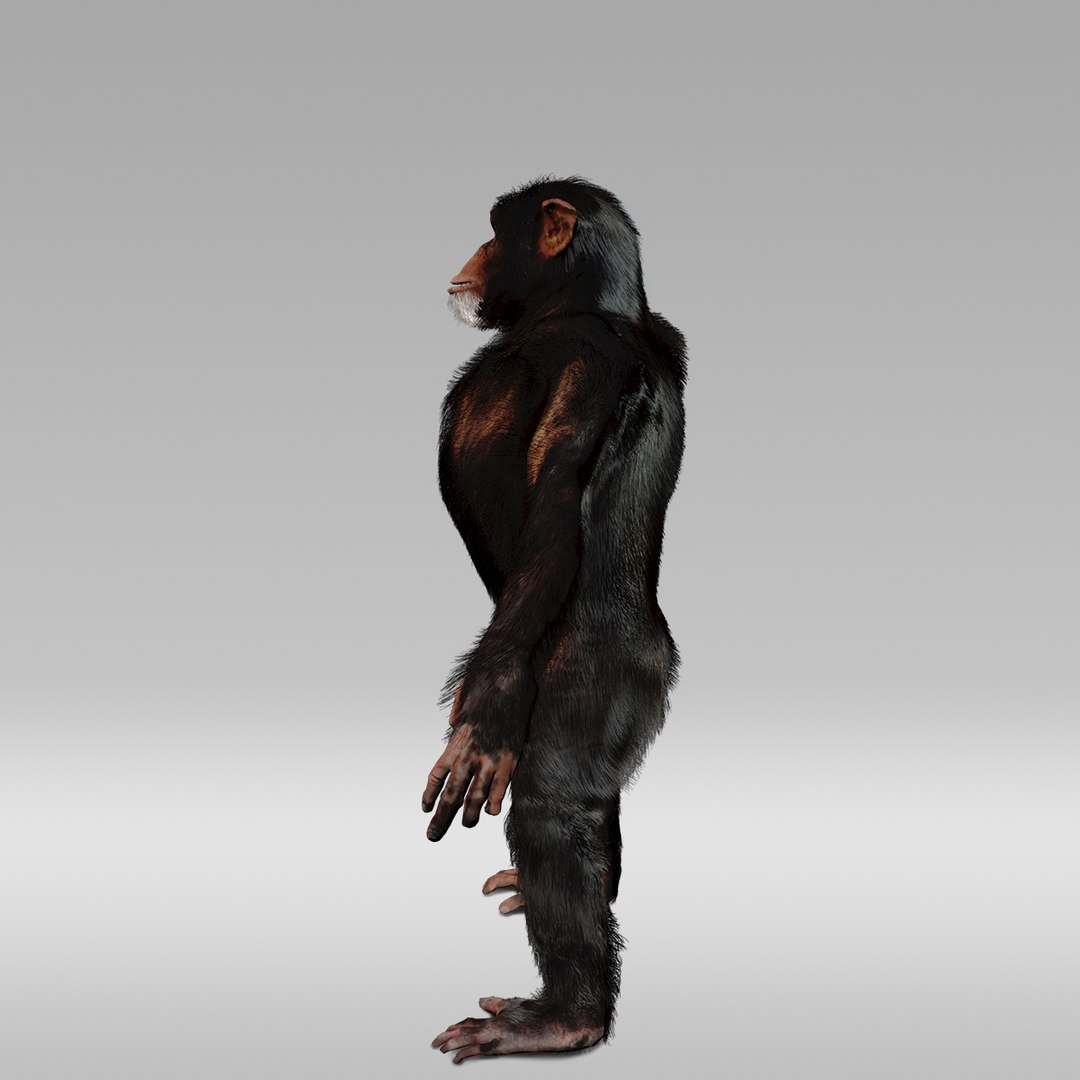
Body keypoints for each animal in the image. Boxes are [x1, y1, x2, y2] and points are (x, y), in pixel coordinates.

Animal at [423, 176, 686, 1062]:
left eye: (494, 231)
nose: (468, 254)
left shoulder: (585, 369)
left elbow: (555, 507)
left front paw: (481, 719)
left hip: (591, 680)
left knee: (552, 803)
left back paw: (563, 1018)